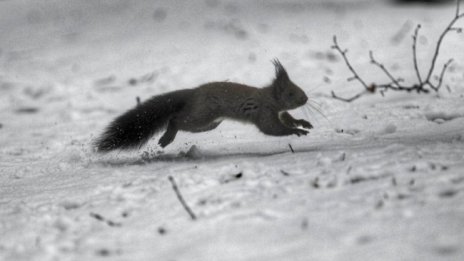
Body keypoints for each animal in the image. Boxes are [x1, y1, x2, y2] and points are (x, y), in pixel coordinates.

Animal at [94, 58, 312, 152]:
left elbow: (287, 119)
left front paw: (302, 123)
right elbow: (272, 129)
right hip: (201, 115)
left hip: (207, 124)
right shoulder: (264, 112)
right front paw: (296, 132)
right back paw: (167, 137)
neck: (269, 97)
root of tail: (193, 93)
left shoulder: (279, 112)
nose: (306, 99)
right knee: (176, 120)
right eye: (291, 93)